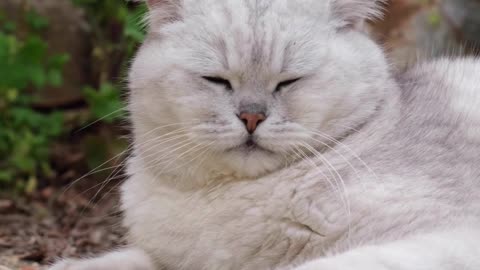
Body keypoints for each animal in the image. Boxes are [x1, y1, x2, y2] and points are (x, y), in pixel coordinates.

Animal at [48, 0, 480, 270]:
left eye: (288, 82)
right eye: (217, 80)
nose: (251, 117)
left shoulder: (445, 236)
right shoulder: (176, 258)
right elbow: (126, 259)